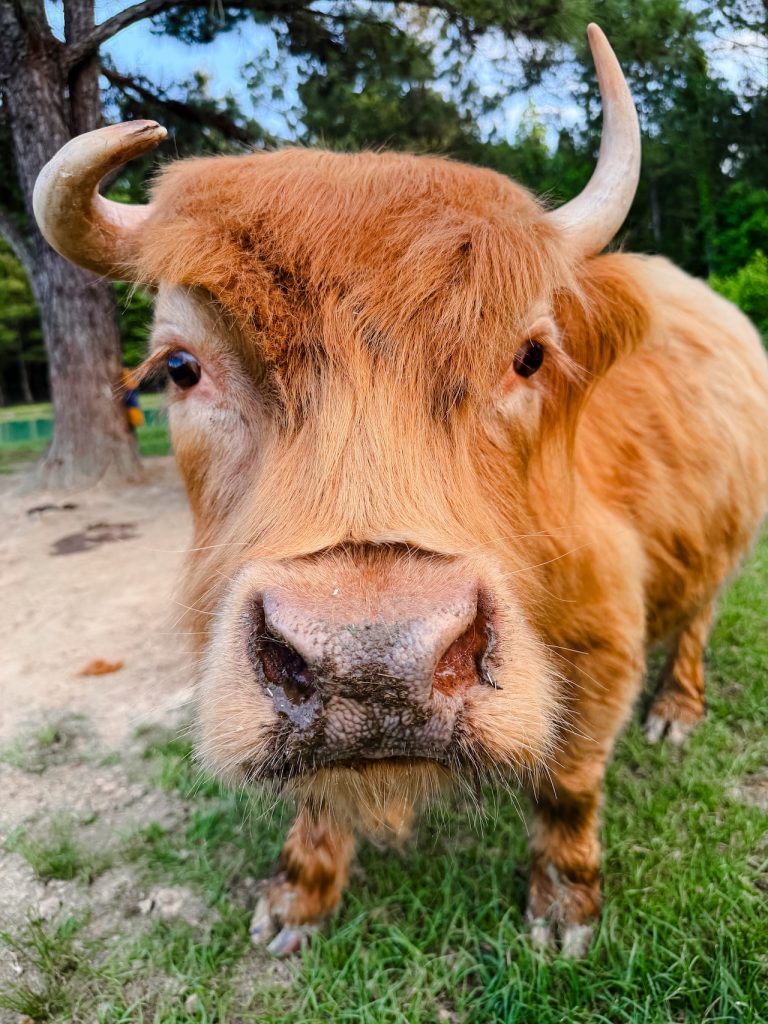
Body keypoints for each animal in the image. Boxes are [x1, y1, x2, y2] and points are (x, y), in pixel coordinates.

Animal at [33, 25, 768, 958]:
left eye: (528, 355)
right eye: (180, 366)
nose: (374, 666)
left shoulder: (605, 641)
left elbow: (568, 786)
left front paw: (564, 909)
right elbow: (314, 799)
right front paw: (296, 898)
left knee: (700, 614)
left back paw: (677, 709)